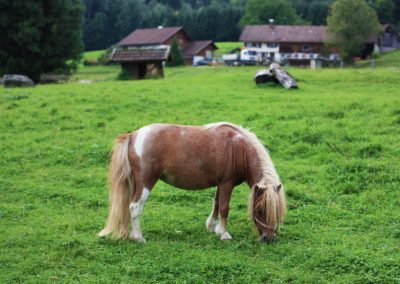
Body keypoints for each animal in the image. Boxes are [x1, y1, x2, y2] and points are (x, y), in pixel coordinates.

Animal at [100, 122, 288, 244]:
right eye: (260, 210)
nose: (269, 239)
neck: (238, 149)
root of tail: (133, 135)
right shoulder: (227, 184)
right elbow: (224, 208)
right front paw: (224, 234)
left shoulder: (220, 184)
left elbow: (216, 204)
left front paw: (212, 227)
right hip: (146, 182)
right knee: (135, 207)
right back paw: (139, 238)